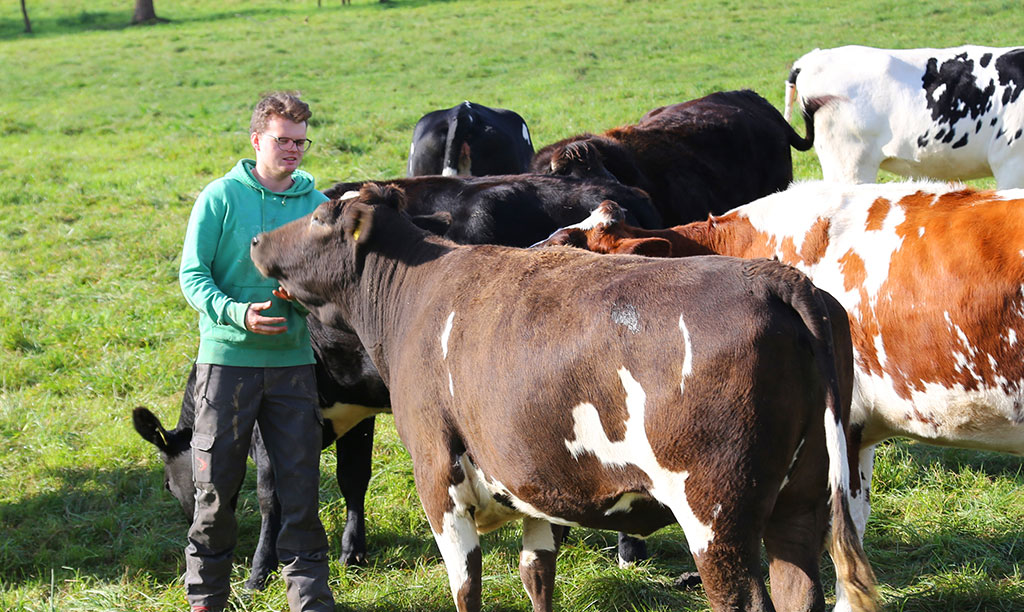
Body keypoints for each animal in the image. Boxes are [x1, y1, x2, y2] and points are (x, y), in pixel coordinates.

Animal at [249, 184, 880, 612]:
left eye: (322, 216)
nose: (256, 238)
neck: (415, 294)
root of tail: (777, 279)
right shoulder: (537, 482)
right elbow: (536, 573)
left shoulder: (437, 477)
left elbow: (467, 585)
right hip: (801, 499)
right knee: (799, 590)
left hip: (715, 512)